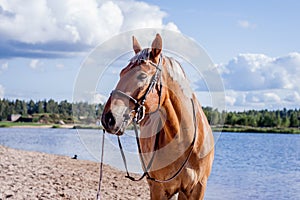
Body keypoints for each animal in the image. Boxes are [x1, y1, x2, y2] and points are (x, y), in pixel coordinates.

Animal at [102, 33, 214, 199]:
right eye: (121, 73)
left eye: (142, 76)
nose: (108, 118)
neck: (183, 140)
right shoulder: (158, 188)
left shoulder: (197, 188)